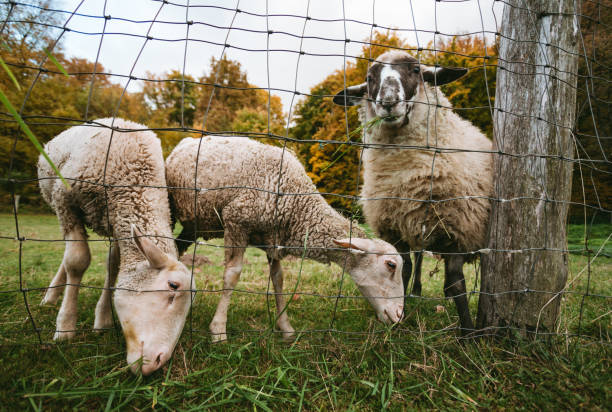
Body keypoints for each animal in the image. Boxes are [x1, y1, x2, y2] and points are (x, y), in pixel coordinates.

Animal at [38, 117, 195, 374]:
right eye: (172, 285)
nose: (158, 360)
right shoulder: (66, 201)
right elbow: (77, 261)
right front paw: (65, 327)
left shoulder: (118, 225)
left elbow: (113, 266)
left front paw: (102, 320)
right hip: (55, 200)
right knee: (70, 254)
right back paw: (52, 298)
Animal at [165, 135, 404, 342]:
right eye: (391, 265)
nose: (399, 315)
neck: (297, 206)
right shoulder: (236, 221)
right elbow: (232, 275)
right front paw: (218, 330)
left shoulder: (274, 239)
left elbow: (278, 279)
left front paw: (286, 328)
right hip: (172, 208)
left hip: (193, 225)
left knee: (177, 250)